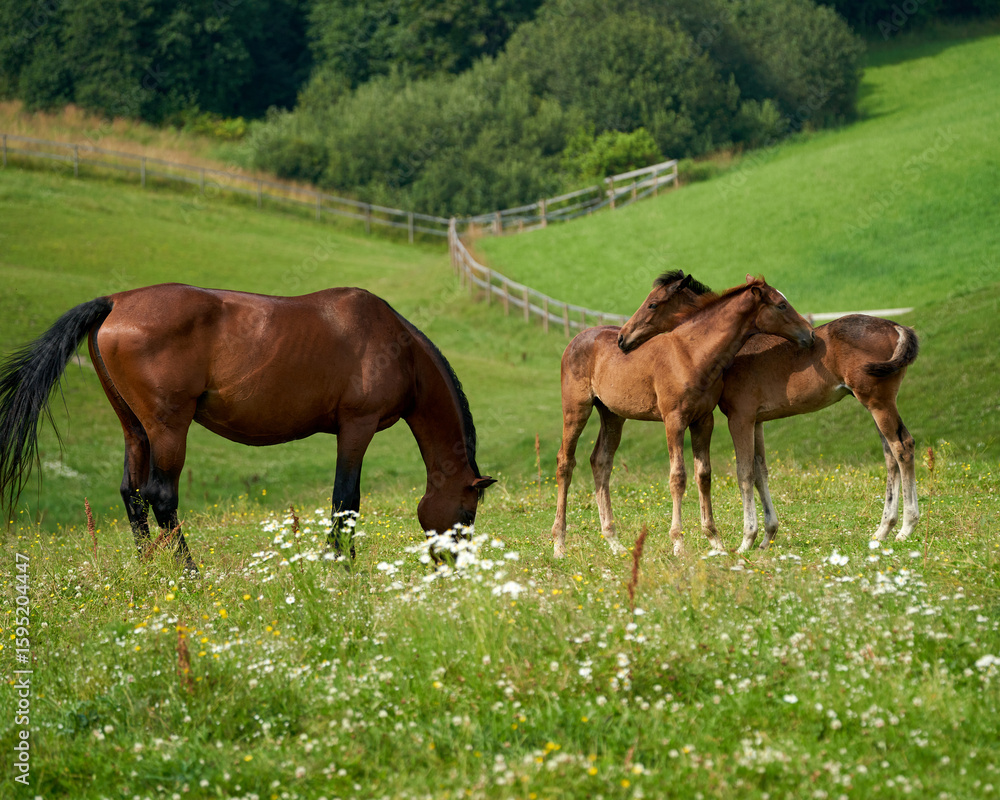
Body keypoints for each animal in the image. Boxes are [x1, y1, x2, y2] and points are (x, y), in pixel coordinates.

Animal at [0, 284, 496, 569]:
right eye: (466, 515)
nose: (455, 567)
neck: (399, 348)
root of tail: (116, 302)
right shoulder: (358, 426)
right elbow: (346, 500)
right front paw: (341, 563)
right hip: (167, 427)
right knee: (161, 495)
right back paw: (188, 572)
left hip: (133, 427)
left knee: (132, 494)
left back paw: (148, 570)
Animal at [552, 275, 813, 558]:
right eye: (781, 305)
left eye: (653, 304)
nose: (809, 334)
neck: (691, 354)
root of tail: (576, 339)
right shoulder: (674, 420)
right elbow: (678, 477)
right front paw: (678, 542)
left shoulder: (703, 420)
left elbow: (704, 475)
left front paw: (714, 539)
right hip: (576, 409)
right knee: (565, 462)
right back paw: (559, 544)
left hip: (612, 415)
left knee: (600, 461)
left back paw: (614, 541)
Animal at [619, 277, 920, 552]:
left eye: (652, 304)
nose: (623, 338)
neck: (729, 352)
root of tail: (896, 326)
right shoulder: (757, 421)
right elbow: (760, 470)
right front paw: (766, 537)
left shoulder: (740, 418)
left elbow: (744, 472)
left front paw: (746, 540)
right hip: (873, 404)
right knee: (891, 455)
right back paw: (883, 530)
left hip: (878, 402)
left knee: (902, 447)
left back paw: (906, 528)